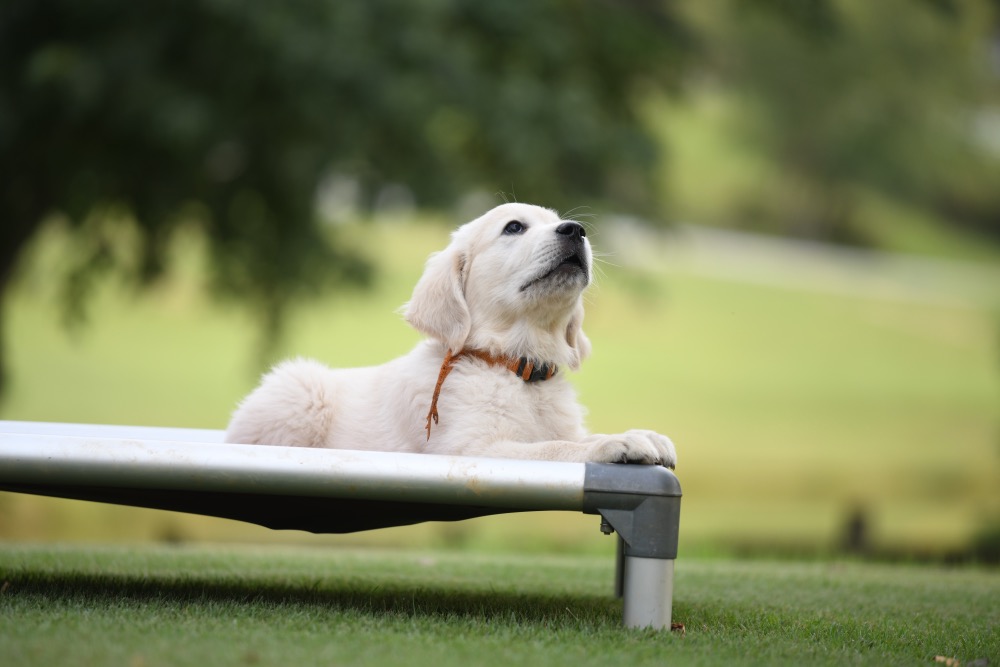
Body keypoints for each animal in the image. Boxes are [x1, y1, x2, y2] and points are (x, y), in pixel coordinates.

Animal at [226, 201, 676, 468]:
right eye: (514, 227)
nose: (576, 230)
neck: (513, 365)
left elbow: (566, 437)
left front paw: (645, 434)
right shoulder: (474, 448)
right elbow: (553, 448)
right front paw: (617, 444)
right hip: (298, 391)